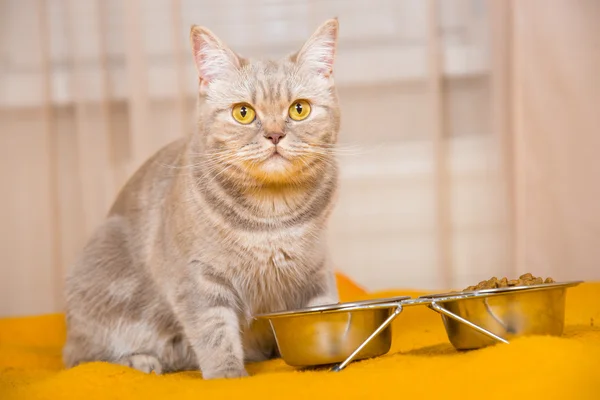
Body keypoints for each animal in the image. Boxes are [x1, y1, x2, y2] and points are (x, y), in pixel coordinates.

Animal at [62, 18, 342, 380]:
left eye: (299, 109)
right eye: (243, 113)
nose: (275, 134)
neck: (271, 215)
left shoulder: (315, 272)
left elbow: (323, 313)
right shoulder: (197, 280)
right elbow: (214, 334)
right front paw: (228, 377)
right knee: (81, 358)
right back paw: (141, 361)